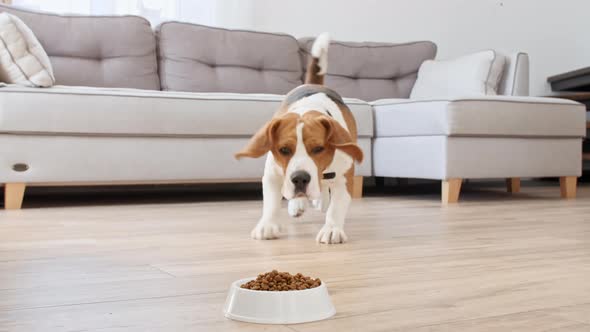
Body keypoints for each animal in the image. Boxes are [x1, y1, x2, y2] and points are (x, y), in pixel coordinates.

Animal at [237, 33, 366, 244]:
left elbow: (336, 207)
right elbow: (271, 203)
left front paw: (332, 229)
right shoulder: (272, 174)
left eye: (318, 149)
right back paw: (297, 204)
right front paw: (267, 224)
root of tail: (316, 85)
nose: (299, 179)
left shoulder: (344, 180)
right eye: (284, 150)